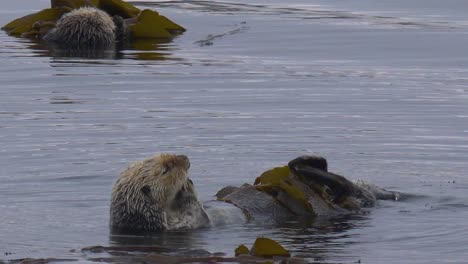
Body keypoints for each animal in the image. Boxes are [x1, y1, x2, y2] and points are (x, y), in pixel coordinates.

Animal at [110, 154, 398, 232]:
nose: (184, 157)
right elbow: (193, 209)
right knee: (342, 191)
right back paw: (304, 164)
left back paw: (303, 162)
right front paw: (186, 186)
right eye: (166, 168)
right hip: (336, 205)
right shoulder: (185, 223)